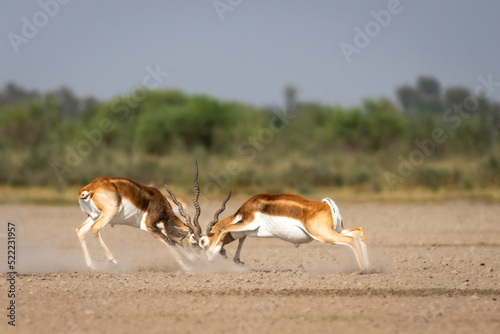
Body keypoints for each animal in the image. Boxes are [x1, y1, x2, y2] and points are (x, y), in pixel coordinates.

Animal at [75, 166, 203, 270]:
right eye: (194, 240)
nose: (198, 258)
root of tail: (89, 188)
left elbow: (172, 242)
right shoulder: (149, 226)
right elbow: (170, 243)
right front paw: (187, 267)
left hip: (94, 216)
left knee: (80, 230)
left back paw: (92, 266)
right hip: (109, 213)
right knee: (94, 229)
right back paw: (114, 262)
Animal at [201, 193, 370, 272]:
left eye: (202, 241)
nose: (207, 259)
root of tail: (326, 205)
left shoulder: (248, 222)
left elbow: (224, 229)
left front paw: (210, 256)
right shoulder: (248, 229)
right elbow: (241, 239)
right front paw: (238, 261)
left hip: (325, 235)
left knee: (351, 240)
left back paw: (362, 271)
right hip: (337, 230)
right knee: (359, 232)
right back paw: (370, 268)